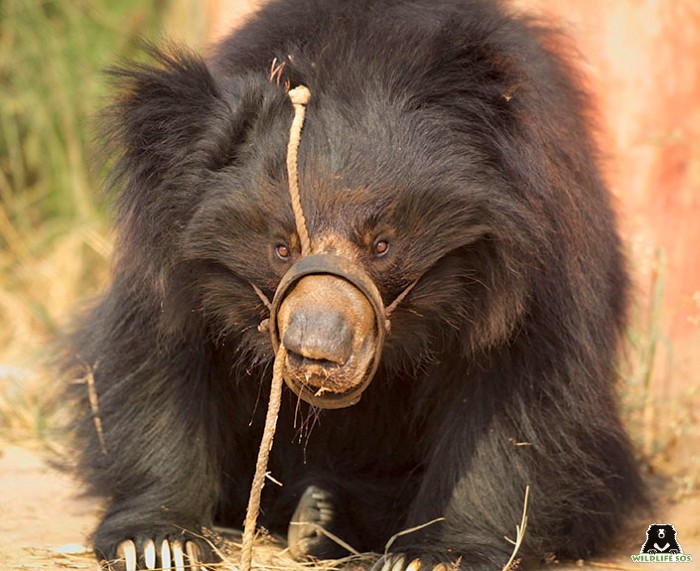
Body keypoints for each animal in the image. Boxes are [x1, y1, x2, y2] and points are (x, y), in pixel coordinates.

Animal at [65, 0, 644, 568]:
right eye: (281, 249)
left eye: (382, 245)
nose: (317, 354)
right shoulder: (173, 255)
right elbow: (161, 361)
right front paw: (158, 543)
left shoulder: (534, 268)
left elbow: (515, 395)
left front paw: (436, 555)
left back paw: (320, 517)